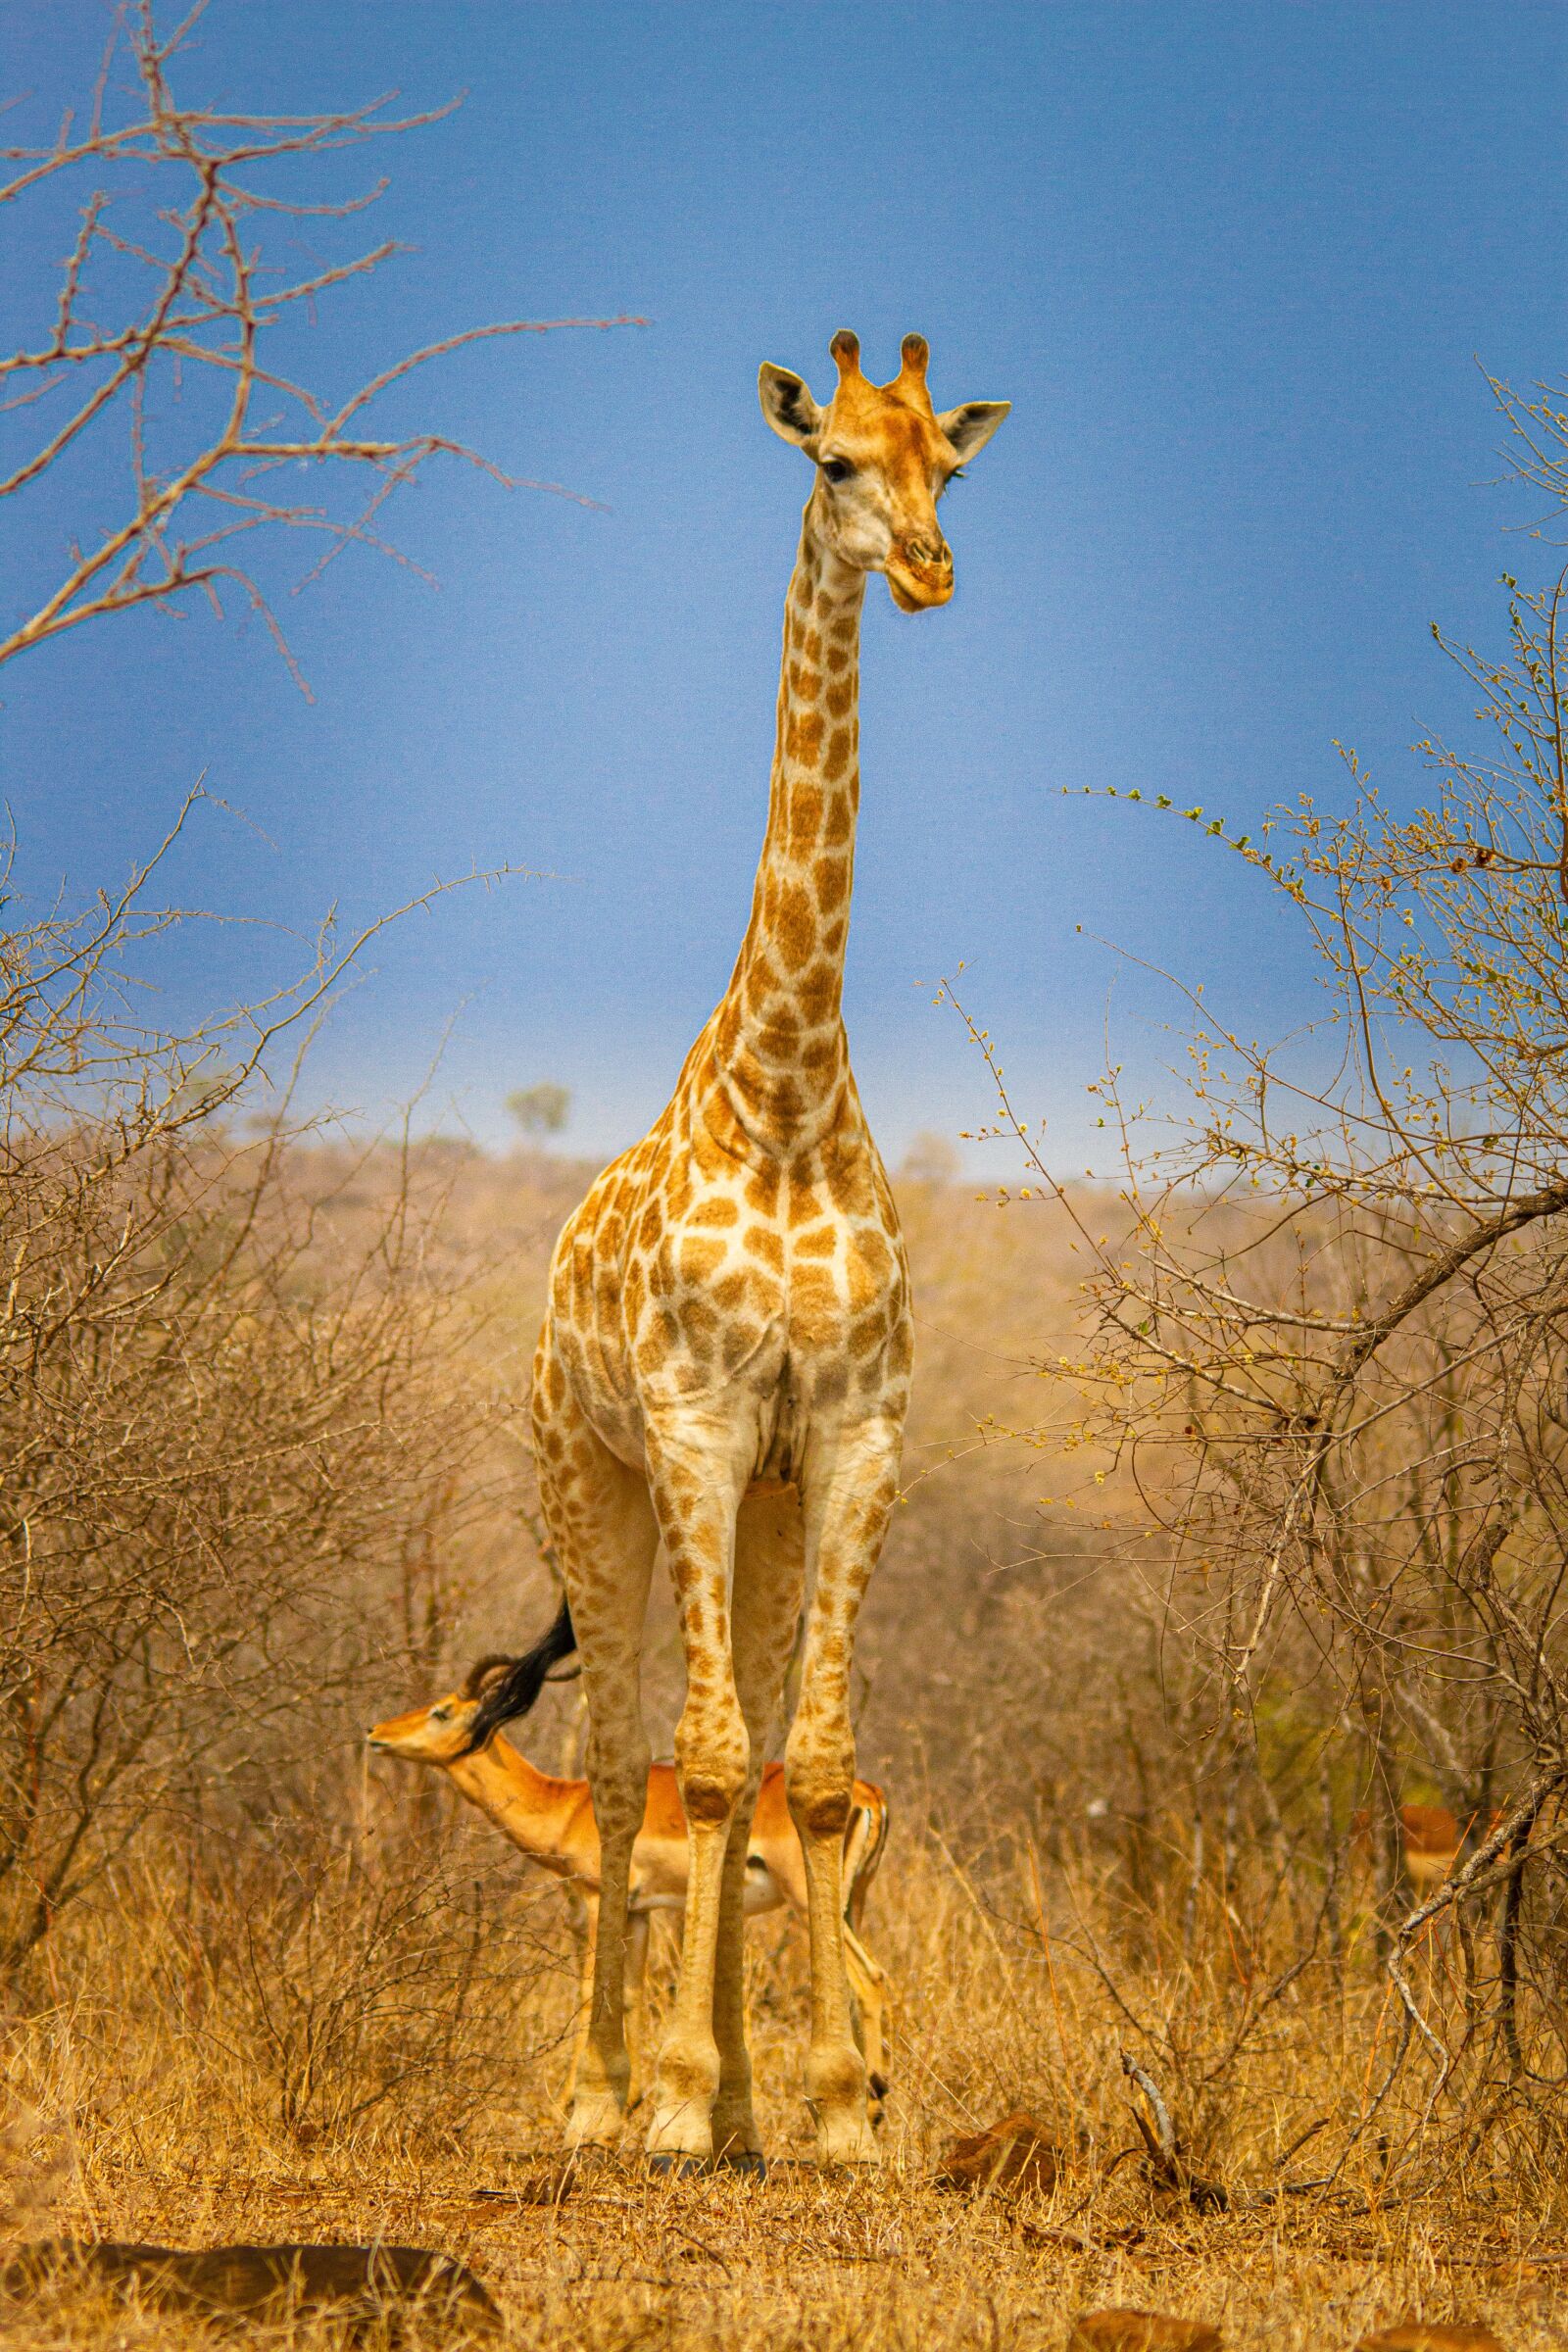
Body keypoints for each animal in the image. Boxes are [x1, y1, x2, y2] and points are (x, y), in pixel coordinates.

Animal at [523, 329, 1008, 2169]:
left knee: (729, 1748)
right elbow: (710, 1761)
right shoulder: (692, 1424)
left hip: (770, 1504)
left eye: (953, 461)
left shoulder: (851, 1434)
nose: (932, 570)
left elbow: (807, 1763)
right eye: (832, 464)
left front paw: (830, 2109)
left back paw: (729, 2096)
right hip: (588, 1475)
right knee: (616, 1762)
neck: (790, 1092)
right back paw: (601, 2096)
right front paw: (664, 2099)